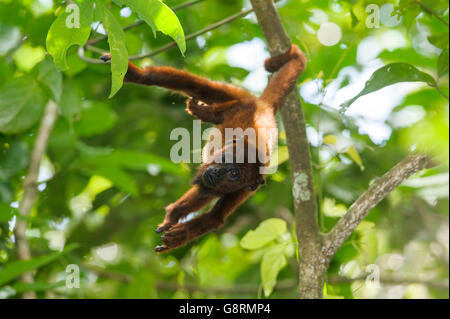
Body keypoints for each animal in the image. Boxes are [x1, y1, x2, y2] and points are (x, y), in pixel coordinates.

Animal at [101, 43, 306, 252]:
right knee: (198, 86)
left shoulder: (247, 188)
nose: (217, 172)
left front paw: (178, 232)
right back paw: (142, 77)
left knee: (205, 191)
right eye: (226, 160)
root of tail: (265, 108)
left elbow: (214, 216)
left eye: (234, 173)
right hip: (241, 98)